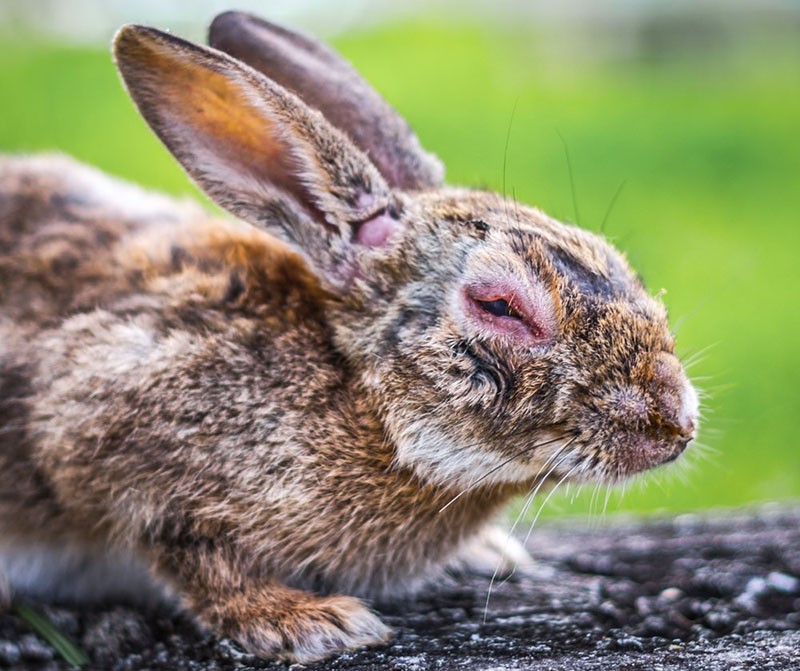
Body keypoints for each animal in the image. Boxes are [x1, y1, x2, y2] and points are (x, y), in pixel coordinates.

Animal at [0, 11, 700, 668]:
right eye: (499, 306)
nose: (675, 422)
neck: (368, 405)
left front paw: (487, 555)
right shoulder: (105, 425)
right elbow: (192, 557)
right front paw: (310, 623)